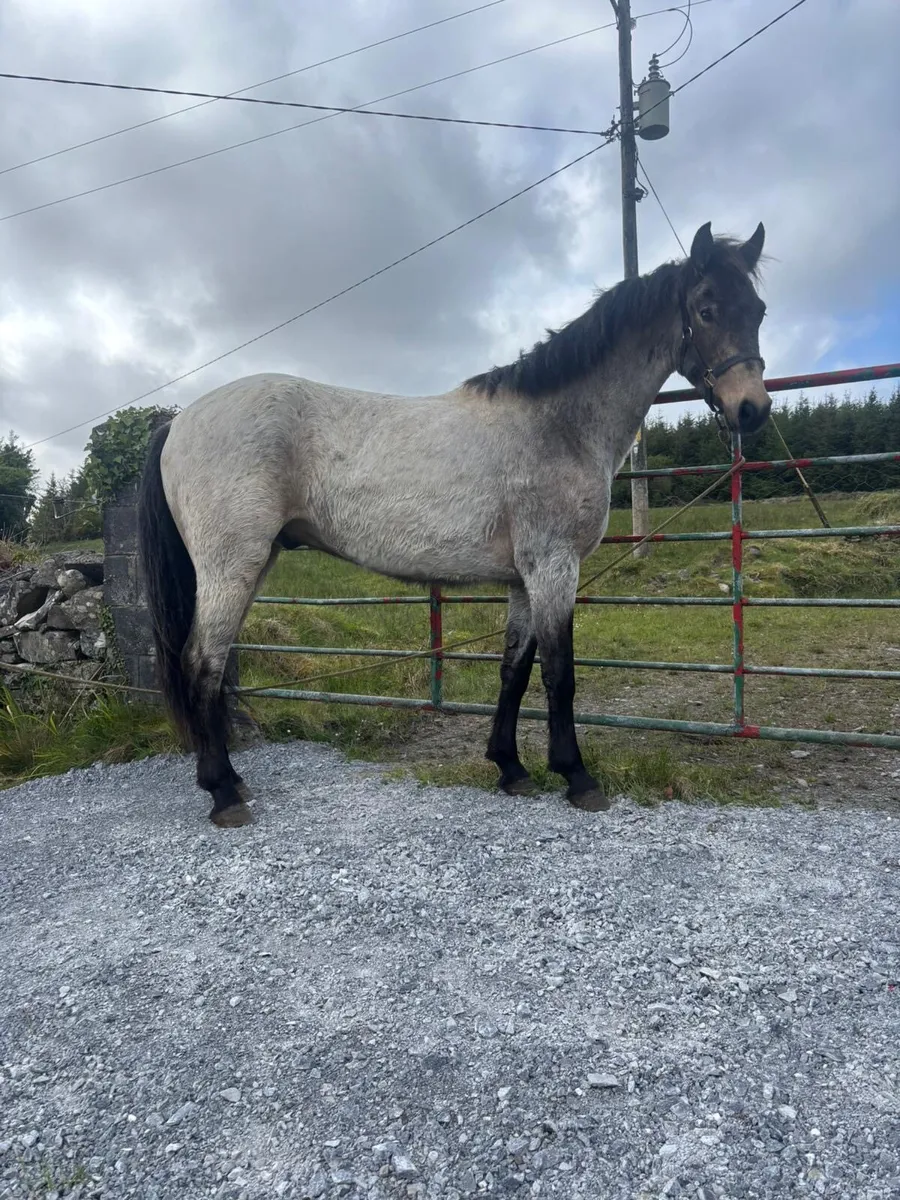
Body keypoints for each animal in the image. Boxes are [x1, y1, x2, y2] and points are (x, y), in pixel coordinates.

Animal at [138, 220, 770, 828]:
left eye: (759, 310)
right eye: (707, 308)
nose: (753, 409)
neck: (556, 425)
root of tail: (179, 422)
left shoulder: (523, 578)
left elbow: (515, 669)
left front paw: (510, 767)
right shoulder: (554, 568)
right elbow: (559, 673)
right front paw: (577, 778)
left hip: (254, 561)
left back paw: (234, 781)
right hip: (231, 566)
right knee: (202, 664)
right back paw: (224, 794)